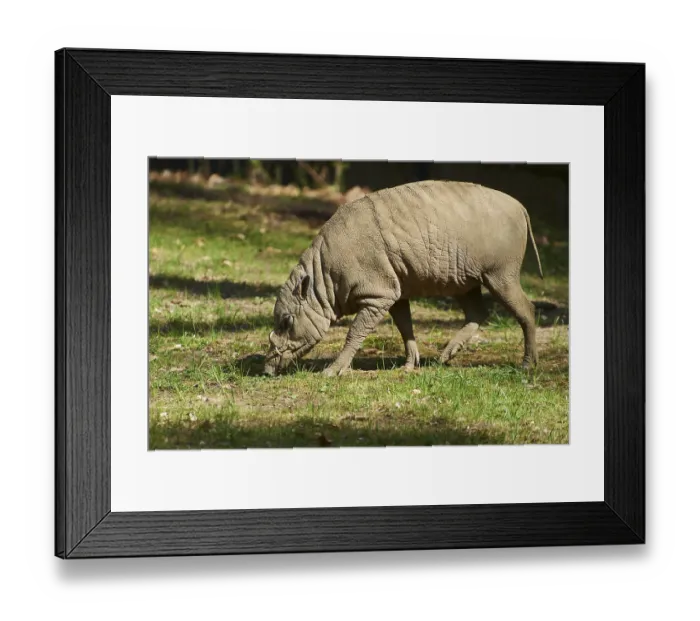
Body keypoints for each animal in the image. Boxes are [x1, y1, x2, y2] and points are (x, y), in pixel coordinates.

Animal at [264, 180, 543, 377]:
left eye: (287, 322)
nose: (266, 368)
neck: (324, 280)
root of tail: (522, 208)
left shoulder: (377, 295)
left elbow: (354, 332)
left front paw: (333, 370)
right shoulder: (394, 292)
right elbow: (404, 326)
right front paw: (409, 365)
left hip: (500, 274)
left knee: (527, 310)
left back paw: (527, 365)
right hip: (465, 280)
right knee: (477, 312)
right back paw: (446, 355)